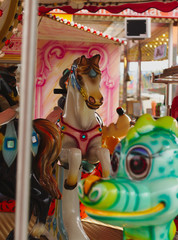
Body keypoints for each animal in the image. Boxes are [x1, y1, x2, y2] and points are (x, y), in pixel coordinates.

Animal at [51, 54, 110, 240]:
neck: (82, 124)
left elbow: (104, 152)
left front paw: (105, 179)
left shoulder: (92, 153)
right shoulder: (63, 154)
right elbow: (75, 153)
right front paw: (70, 182)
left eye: (99, 75)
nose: (96, 100)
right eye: (79, 77)